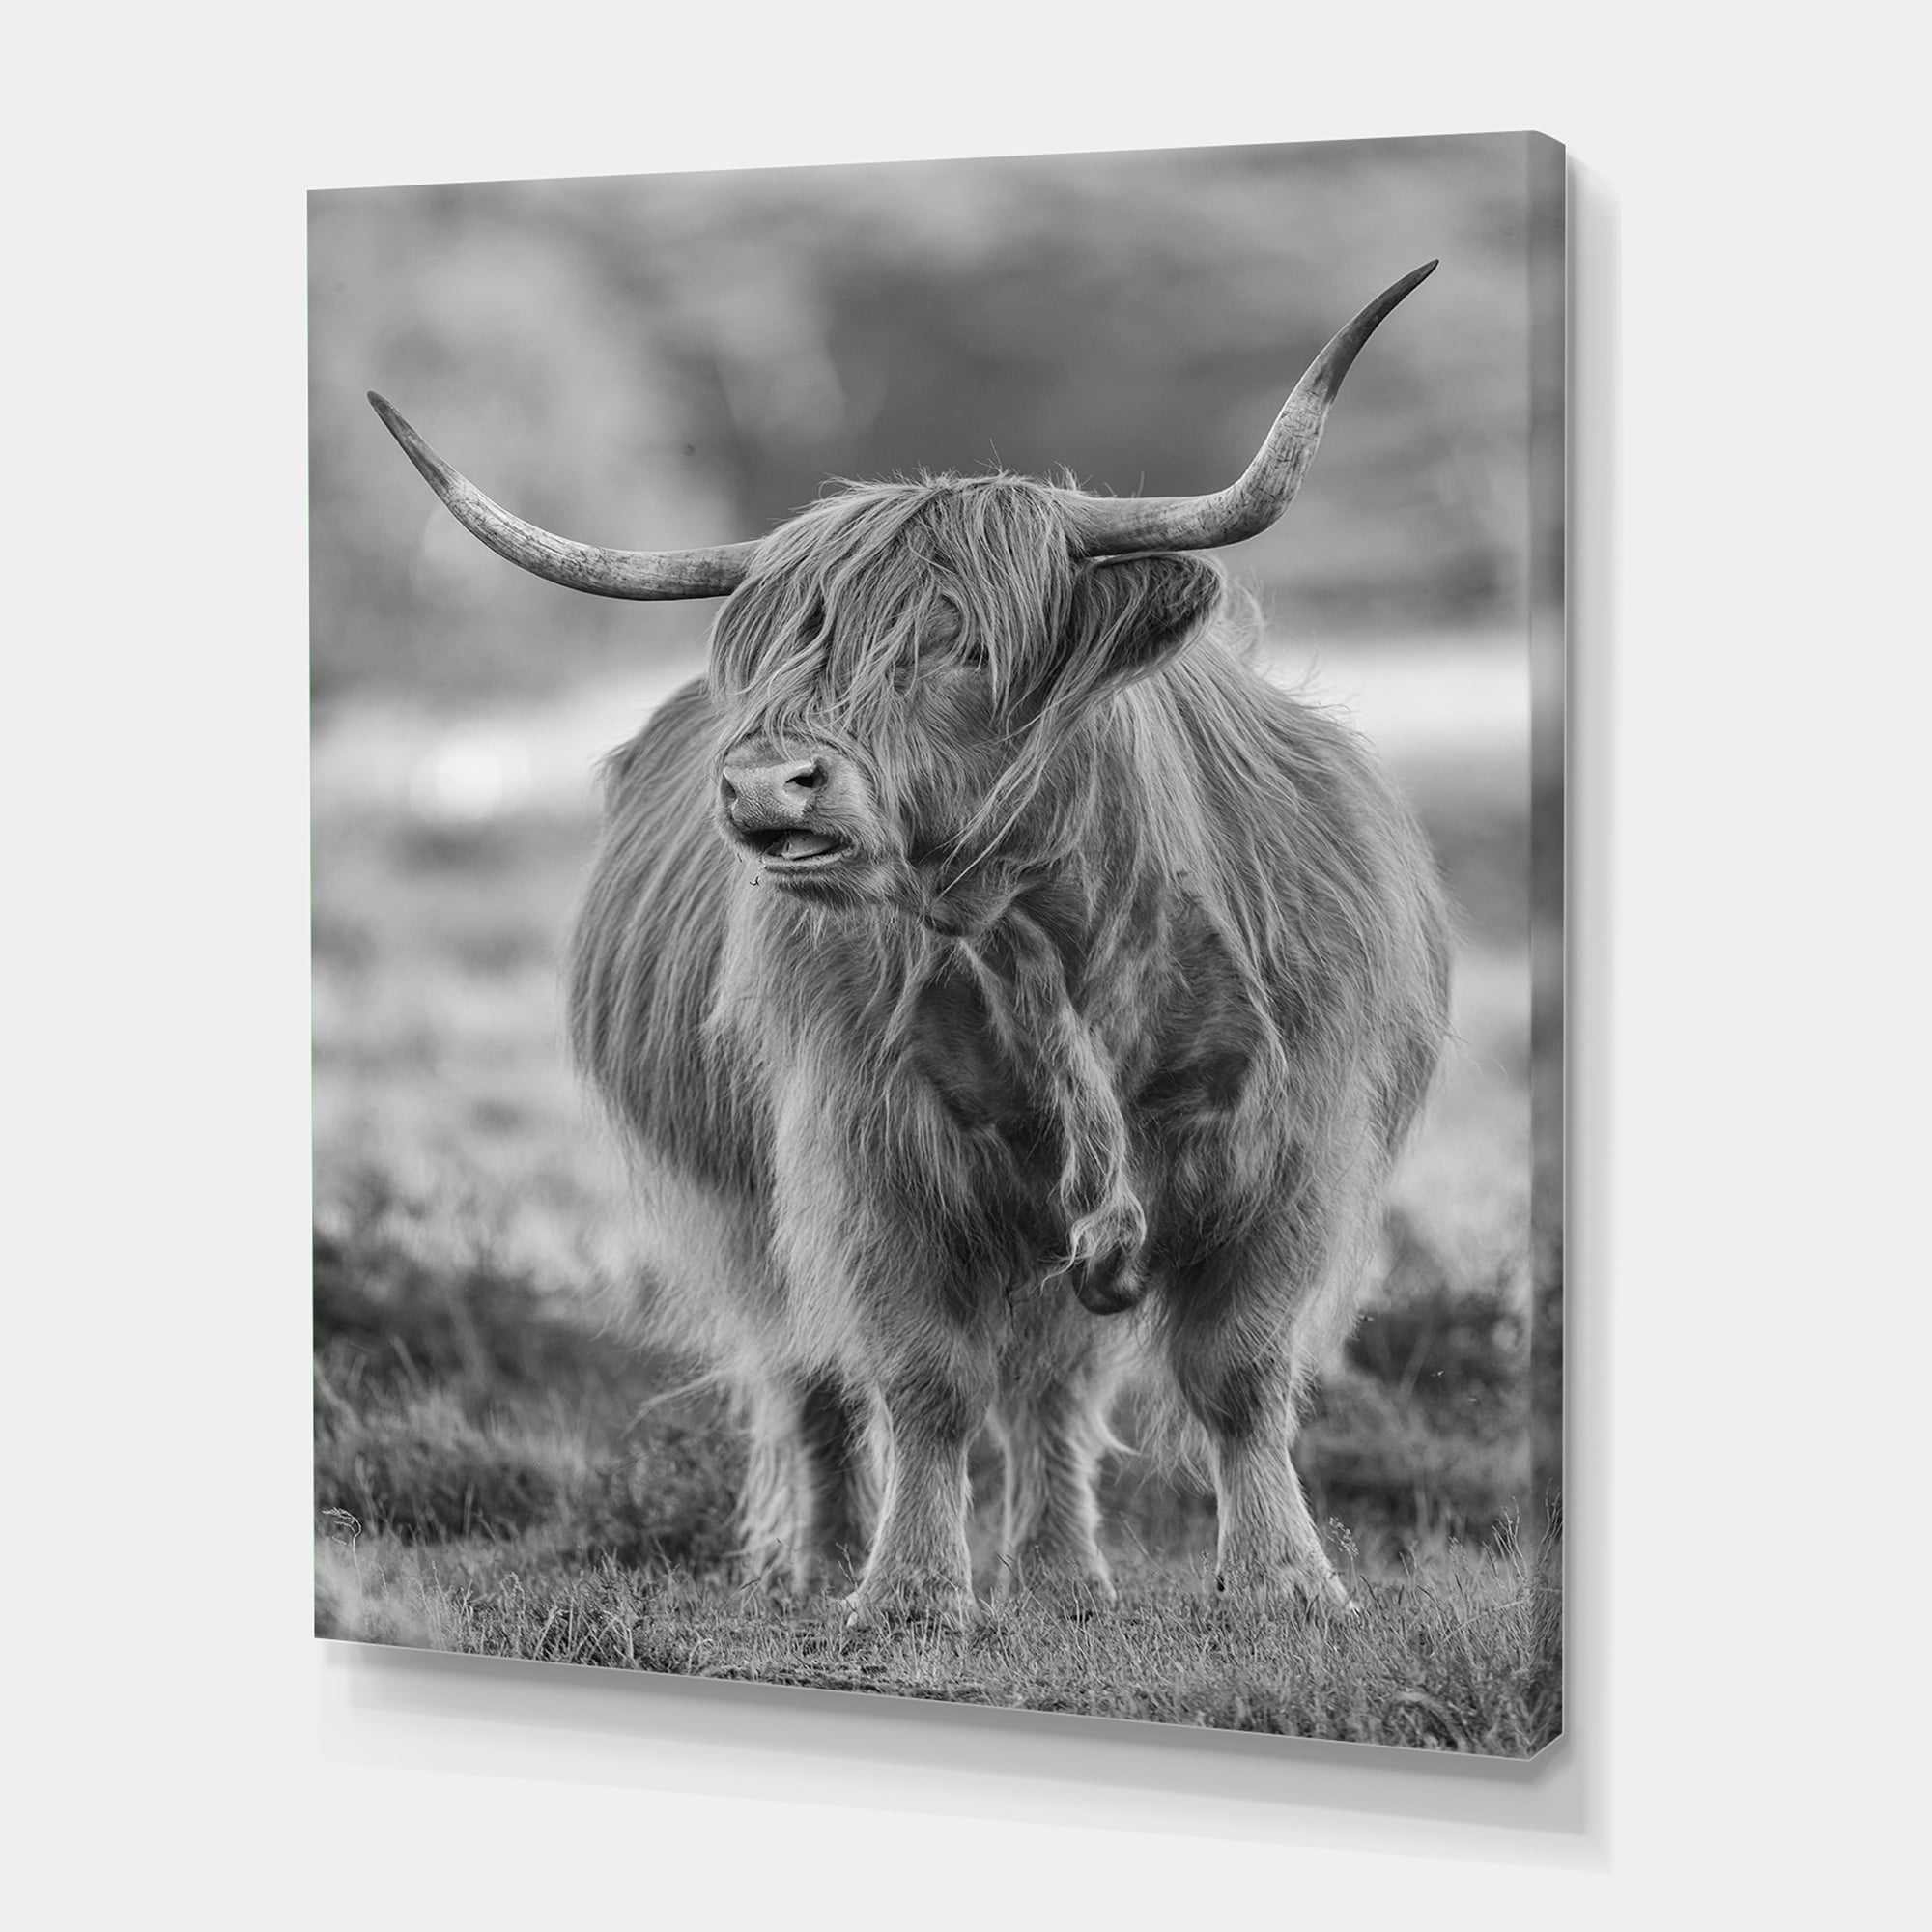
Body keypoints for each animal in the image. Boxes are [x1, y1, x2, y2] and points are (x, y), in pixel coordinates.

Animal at [369, 262, 1451, 1625]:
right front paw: (913, 1589)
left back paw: (1062, 1570)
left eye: (967, 642)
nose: (766, 781)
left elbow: (1239, 1372)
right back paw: (821, 1557)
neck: (1054, 941)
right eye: (789, 647)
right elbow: (920, 1377)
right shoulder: (865, 1150)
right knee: (811, 1370)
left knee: (1052, 1380)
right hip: (750, 1205)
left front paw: (1282, 1582)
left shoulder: (1288, 1141)